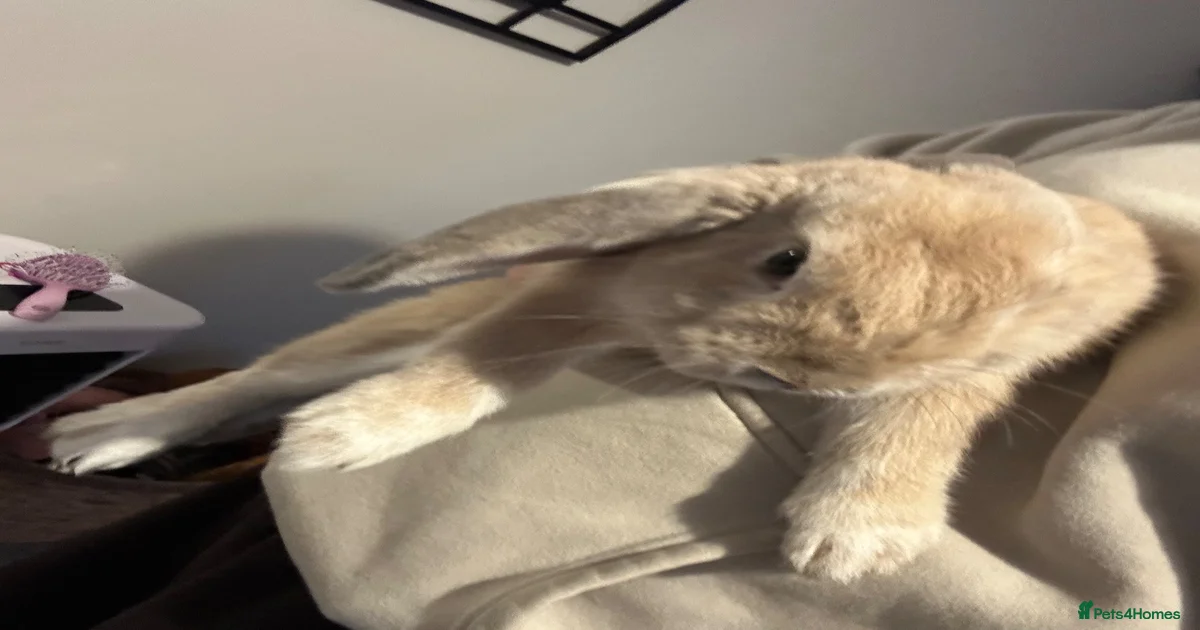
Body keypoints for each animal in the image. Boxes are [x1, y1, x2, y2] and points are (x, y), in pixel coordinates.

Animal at [44, 154, 1161, 583]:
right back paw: (97, 437)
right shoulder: (586, 291)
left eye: (969, 337)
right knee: (259, 379)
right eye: (784, 257)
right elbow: (493, 356)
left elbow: (919, 416)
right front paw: (341, 435)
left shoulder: (961, 384)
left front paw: (851, 543)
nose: (794, 381)